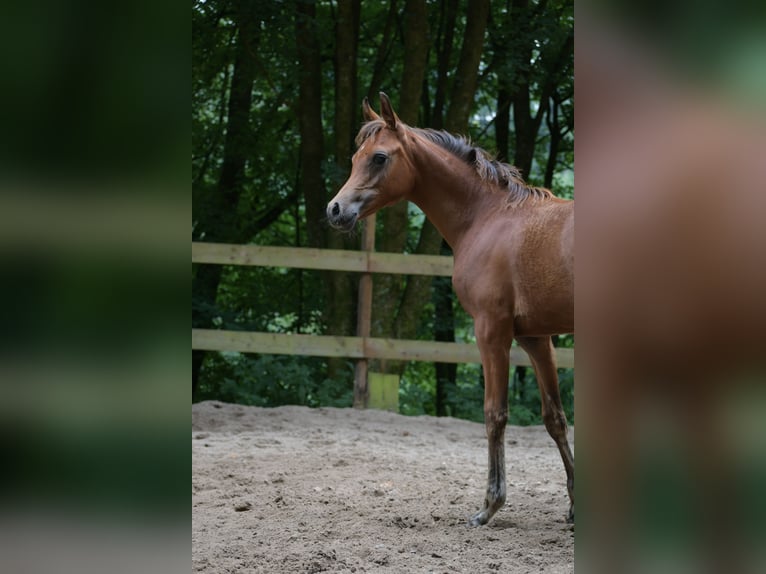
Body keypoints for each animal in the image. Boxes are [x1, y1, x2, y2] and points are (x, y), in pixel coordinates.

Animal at [326, 93, 576, 528]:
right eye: (356, 157)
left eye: (378, 157)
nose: (336, 210)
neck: (488, 216)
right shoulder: (535, 337)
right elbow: (555, 418)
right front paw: (577, 505)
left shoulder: (491, 332)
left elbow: (495, 414)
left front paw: (489, 506)